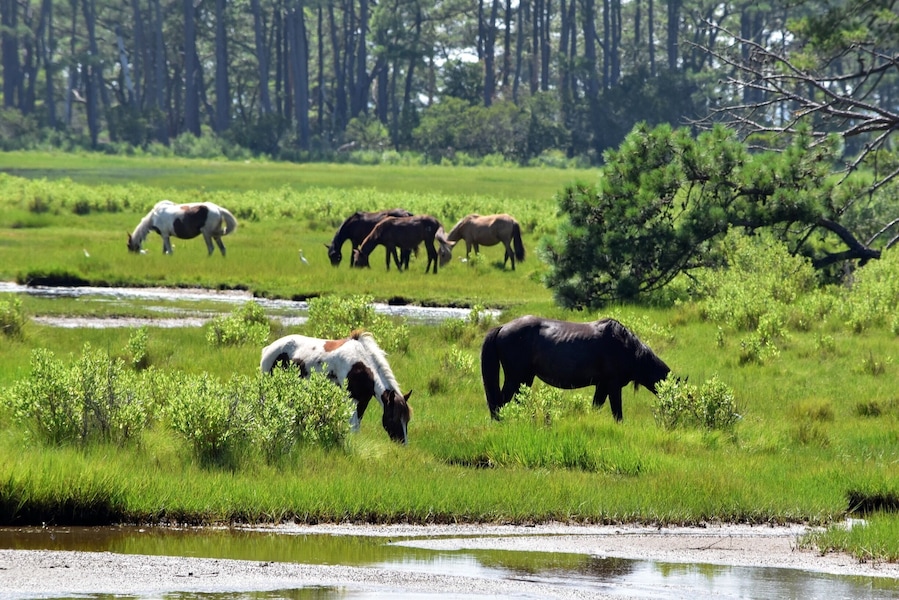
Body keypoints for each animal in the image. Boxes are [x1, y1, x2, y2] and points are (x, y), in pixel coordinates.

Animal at [260, 330, 412, 444]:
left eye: (407, 419)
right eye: (393, 418)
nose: (402, 443)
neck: (361, 366)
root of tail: (268, 349)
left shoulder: (363, 401)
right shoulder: (352, 399)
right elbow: (353, 426)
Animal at [480, 315, 671, 421]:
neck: (626, 347)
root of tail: (503, 327)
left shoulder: (602, 386)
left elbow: (596, 407)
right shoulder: (613, 385)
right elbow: (617, 412)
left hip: (525, 378)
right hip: (515, 377)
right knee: (500, 402)